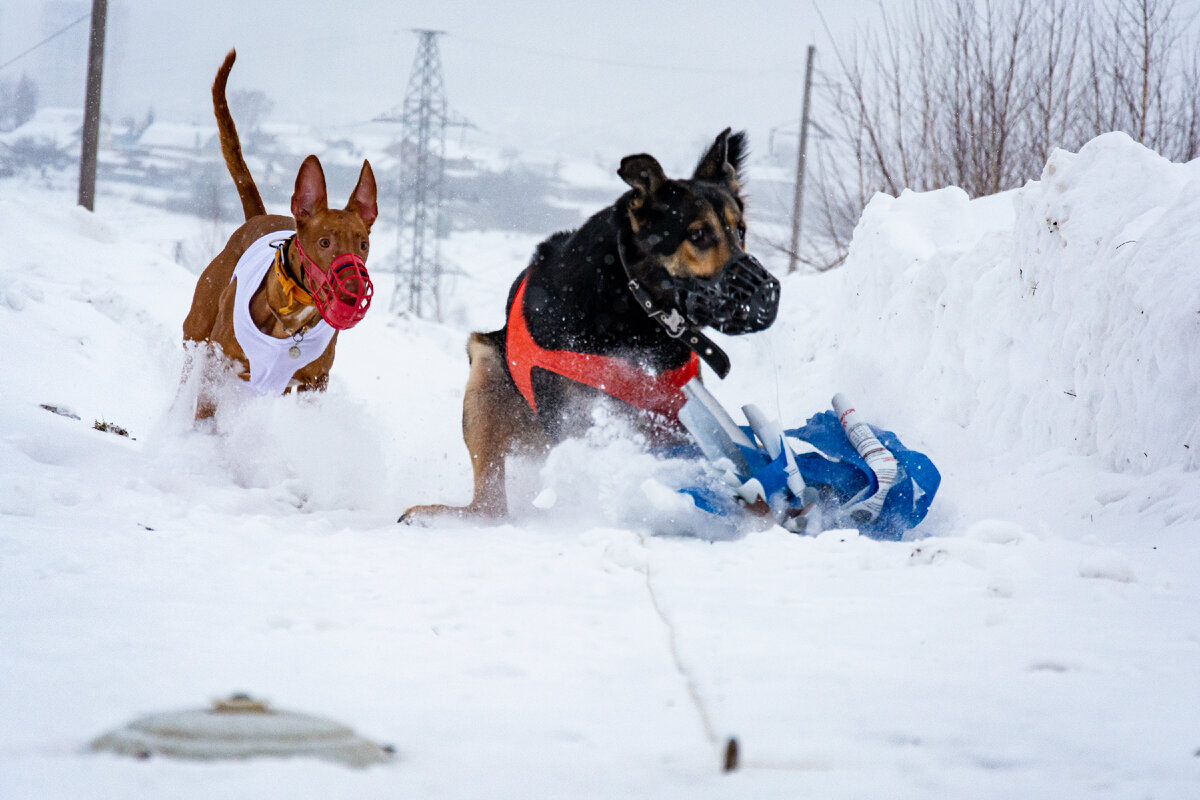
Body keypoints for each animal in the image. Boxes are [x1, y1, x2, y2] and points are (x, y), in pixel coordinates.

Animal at [180, 48, 376, 419]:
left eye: (363, 244)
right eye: (324, 242)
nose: (353, 293)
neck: (290, 323)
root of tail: (258, 216)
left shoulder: (314, 384)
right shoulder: (216, 360)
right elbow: (206, 409)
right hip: (195, 332)